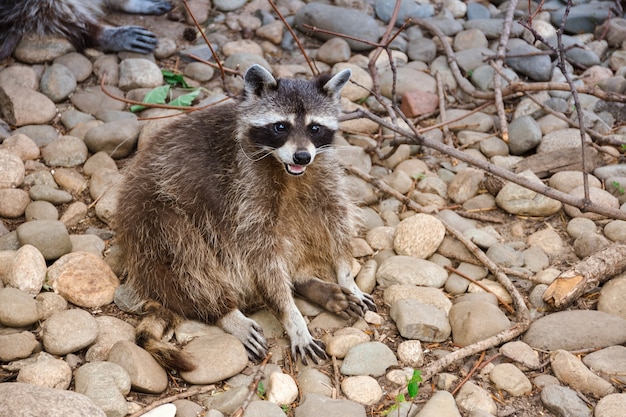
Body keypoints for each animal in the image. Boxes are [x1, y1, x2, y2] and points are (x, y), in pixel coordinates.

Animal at [113, 65, 376, 368]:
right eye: (281, 126)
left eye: (315, 127)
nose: (301, 157)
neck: (286, 170)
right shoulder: (243, 189)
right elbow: (258, 251)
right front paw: (292, 317)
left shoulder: (322, 169)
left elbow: (335, 215)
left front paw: (346, 276)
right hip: (147, 217)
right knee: (182, 251)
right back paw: (225, 310)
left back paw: (303, 280)